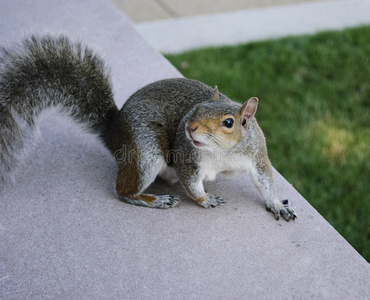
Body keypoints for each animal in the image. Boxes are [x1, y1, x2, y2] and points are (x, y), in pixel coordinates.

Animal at [0, 34, 296, 220]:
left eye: (228, 122)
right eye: (196, 109)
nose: (189, 127)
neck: (223, 153)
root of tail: (114, 131)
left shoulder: (257, 156)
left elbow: (264, 181)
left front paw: (276, 205)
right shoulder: (187, 158)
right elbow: (192, 185)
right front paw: (206, 199)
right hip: (145, 151)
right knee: (123, 191)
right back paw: (155, 199)